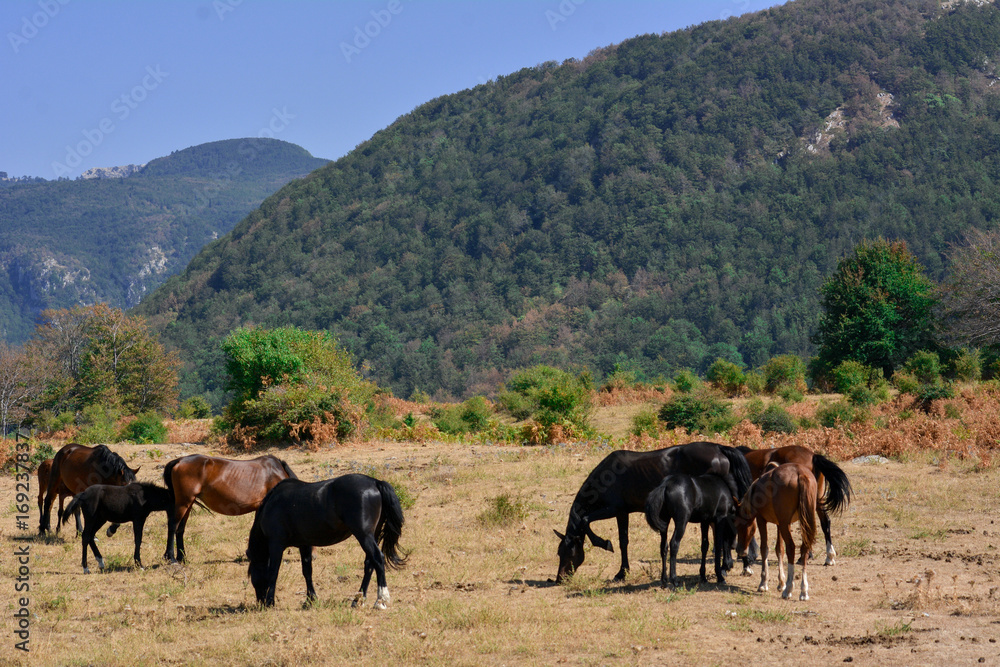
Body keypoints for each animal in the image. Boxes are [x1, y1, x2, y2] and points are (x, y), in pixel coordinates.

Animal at [162, 454, 296, 563]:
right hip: (184, 502)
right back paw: (171, 558)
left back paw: (182, 558)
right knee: (173, 526)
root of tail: (180, 460)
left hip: (188, 503)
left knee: (180, 528)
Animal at [246, 474, 407, 609]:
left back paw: (381, 600)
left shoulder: (276, 544)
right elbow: (307, 571)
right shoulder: (304, 544)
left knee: (378, 558)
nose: (260, 602)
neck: (272, 505)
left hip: (364, 535)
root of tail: (375, 482)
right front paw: (310, 600)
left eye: (253, 575)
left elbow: (274, 571)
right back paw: (358, 600)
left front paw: (270, 601)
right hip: (373, 534)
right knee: (369, 563)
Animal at [554, 441, 753, 582]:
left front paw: (606, 546)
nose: (559, 578)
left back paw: (729, 567)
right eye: (558, 552)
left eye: (568, 552)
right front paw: (623, 571)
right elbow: (623, 541)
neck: (606, 478)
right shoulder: (622, 513)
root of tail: (719, 448)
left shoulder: (614, 509)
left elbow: (587, 521)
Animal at [735, 462, 818, 600]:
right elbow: (780, 549)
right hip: (800, 522)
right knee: (804, 548)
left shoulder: (761, 520)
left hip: (786, 525)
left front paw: (763, 583)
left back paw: (789, 589)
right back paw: (803, 591)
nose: (740, 550)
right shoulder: (781, 524)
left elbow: (765, 548)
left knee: (791, 547)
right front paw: (781, 583)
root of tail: (800, 473)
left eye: (739, 525)